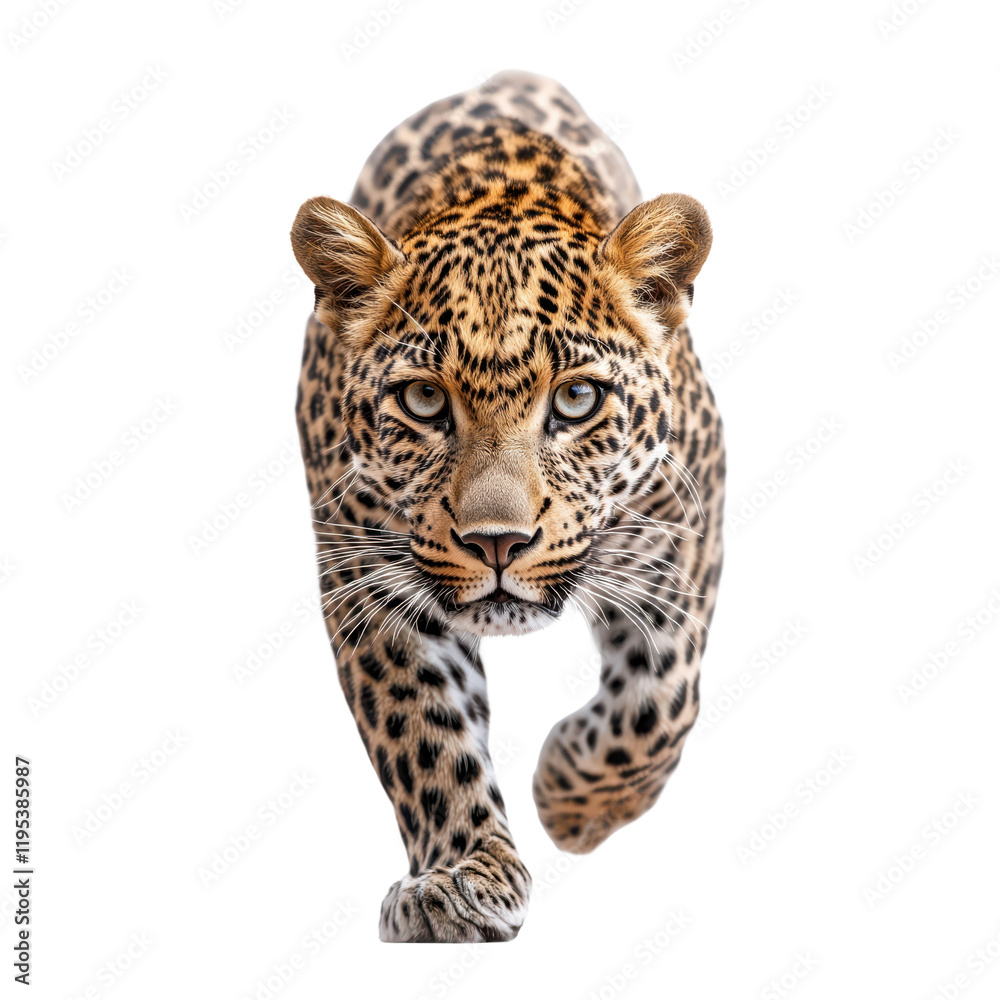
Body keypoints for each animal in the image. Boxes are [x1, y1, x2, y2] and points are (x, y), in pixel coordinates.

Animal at [290, 70, 724, 942]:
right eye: (423, 400)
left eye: (578, 399)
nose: (497, 542)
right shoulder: (368, 573)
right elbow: (424, 733)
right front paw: (459, 878)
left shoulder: (682, 526)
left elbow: (659, 701)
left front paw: (573, 803)